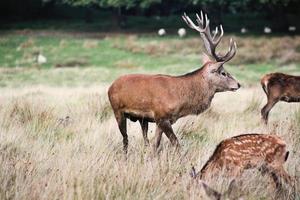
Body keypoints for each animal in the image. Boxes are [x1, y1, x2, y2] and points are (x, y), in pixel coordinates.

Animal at [108, 10, 239, 152]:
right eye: (223, 72)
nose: (238, 84)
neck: (181, 100)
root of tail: (111, 86)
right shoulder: (162, 116)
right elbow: (176, 144)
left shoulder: (161, 120)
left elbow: (155, 145)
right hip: (117, 110)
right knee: (125, 139)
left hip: (142, 119)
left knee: (144, 139)